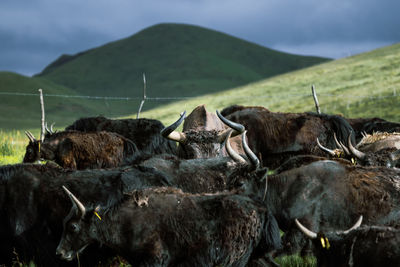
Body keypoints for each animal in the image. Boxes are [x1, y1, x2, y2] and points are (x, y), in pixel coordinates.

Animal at [56, 186, 282, 266]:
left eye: (73, 227)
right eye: (64, 224)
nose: (59, 252)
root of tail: (260, 207)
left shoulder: (155, 260)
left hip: (235, 259)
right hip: (255, 256)